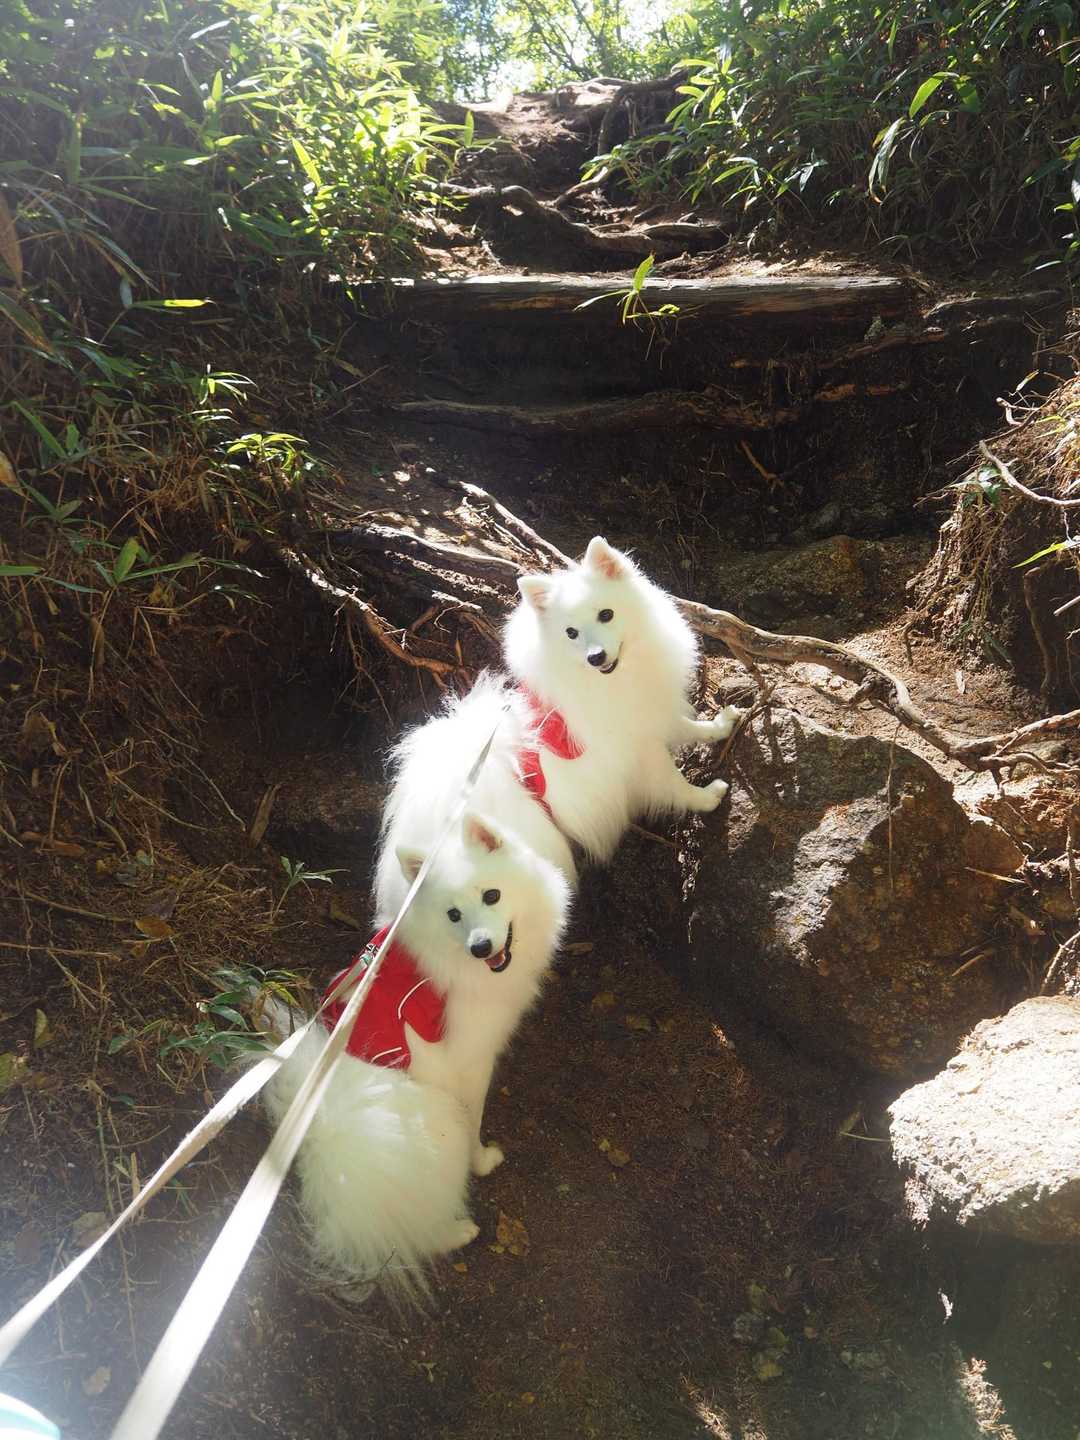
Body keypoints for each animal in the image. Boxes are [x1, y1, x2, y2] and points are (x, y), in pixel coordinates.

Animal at [264, 811, 570, 1303]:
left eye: (492, 895)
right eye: (453, 914)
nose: (481, 947)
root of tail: (322, 1137)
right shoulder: (470, 1061)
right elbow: (475, 1121)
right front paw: (483, 1160)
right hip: (436, 1124)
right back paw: (458, 1230)